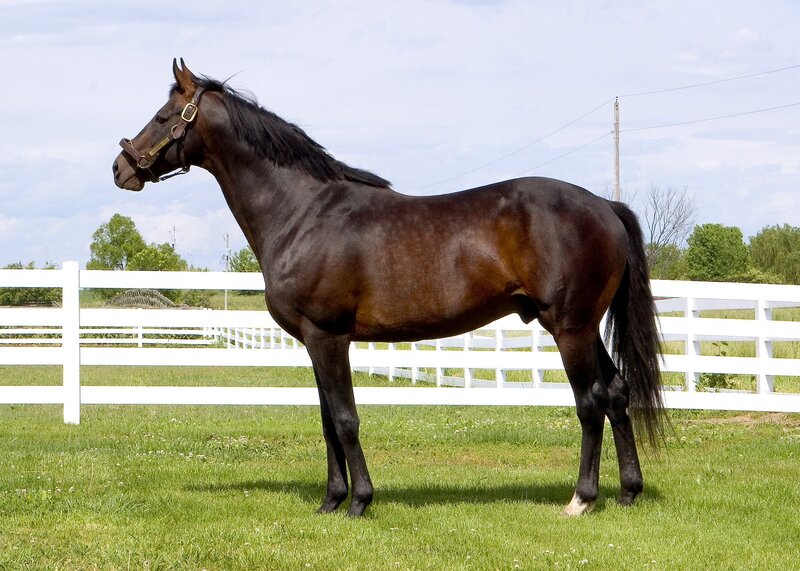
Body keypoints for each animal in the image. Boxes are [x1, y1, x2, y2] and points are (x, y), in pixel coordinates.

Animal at [113, 59, 666, 517]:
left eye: (163, 116)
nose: (121, 168)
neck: (302, 213)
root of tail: (603, 205)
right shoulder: (314, 341)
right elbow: (326, 422)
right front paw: (330, 502)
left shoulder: (329, 337)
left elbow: (346, 419)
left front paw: (359, 501)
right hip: (585, 327)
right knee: (617, 394)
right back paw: (628, 492)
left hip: (569, 328)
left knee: (591, 402)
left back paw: (582, 499)